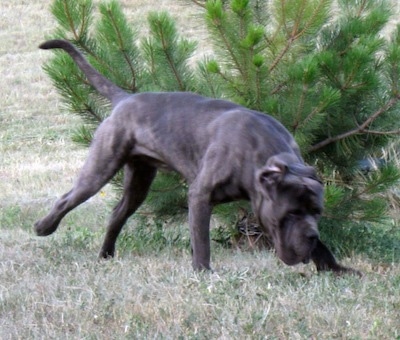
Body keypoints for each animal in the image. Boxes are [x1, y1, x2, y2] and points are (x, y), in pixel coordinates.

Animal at [35, 38, 360, 274]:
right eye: (290, 213)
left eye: (316, 212)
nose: (311, 235)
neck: (262, 155)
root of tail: (125, 98)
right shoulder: (201, 195)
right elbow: (201, 239)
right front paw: (203, 272)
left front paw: (333, 267)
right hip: (101, 167)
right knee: (68, 199)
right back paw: (43, 227)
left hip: (139, 179)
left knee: (117, 214)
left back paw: (106, 255)